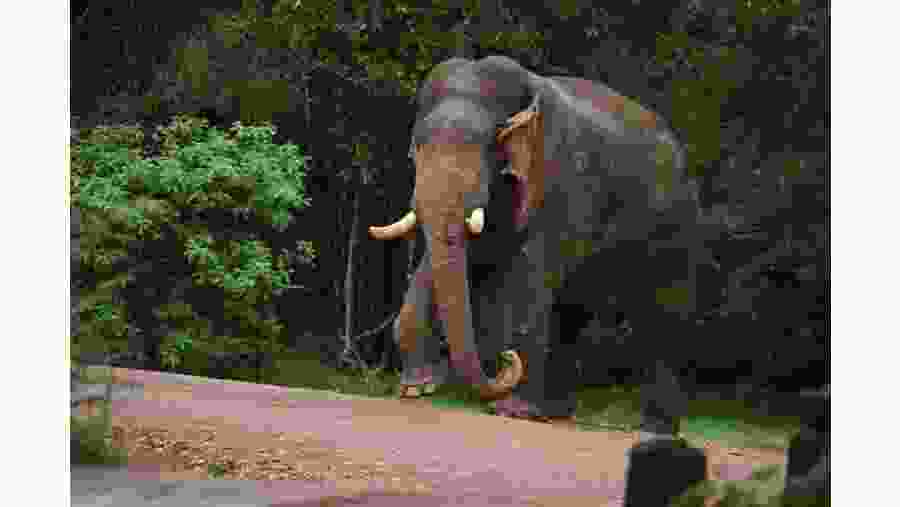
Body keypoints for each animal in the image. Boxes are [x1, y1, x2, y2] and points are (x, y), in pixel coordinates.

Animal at [369, 55, 716, 440]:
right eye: (417, 151)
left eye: (486, 147)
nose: (505, 361)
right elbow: (439, 260)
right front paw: (416, 389)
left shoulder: (559, 181)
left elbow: (529, 277)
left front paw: (510, 411)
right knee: (571, 312)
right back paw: (555, 414)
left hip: (678, 226)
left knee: (661, 313)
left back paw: (656, 430)